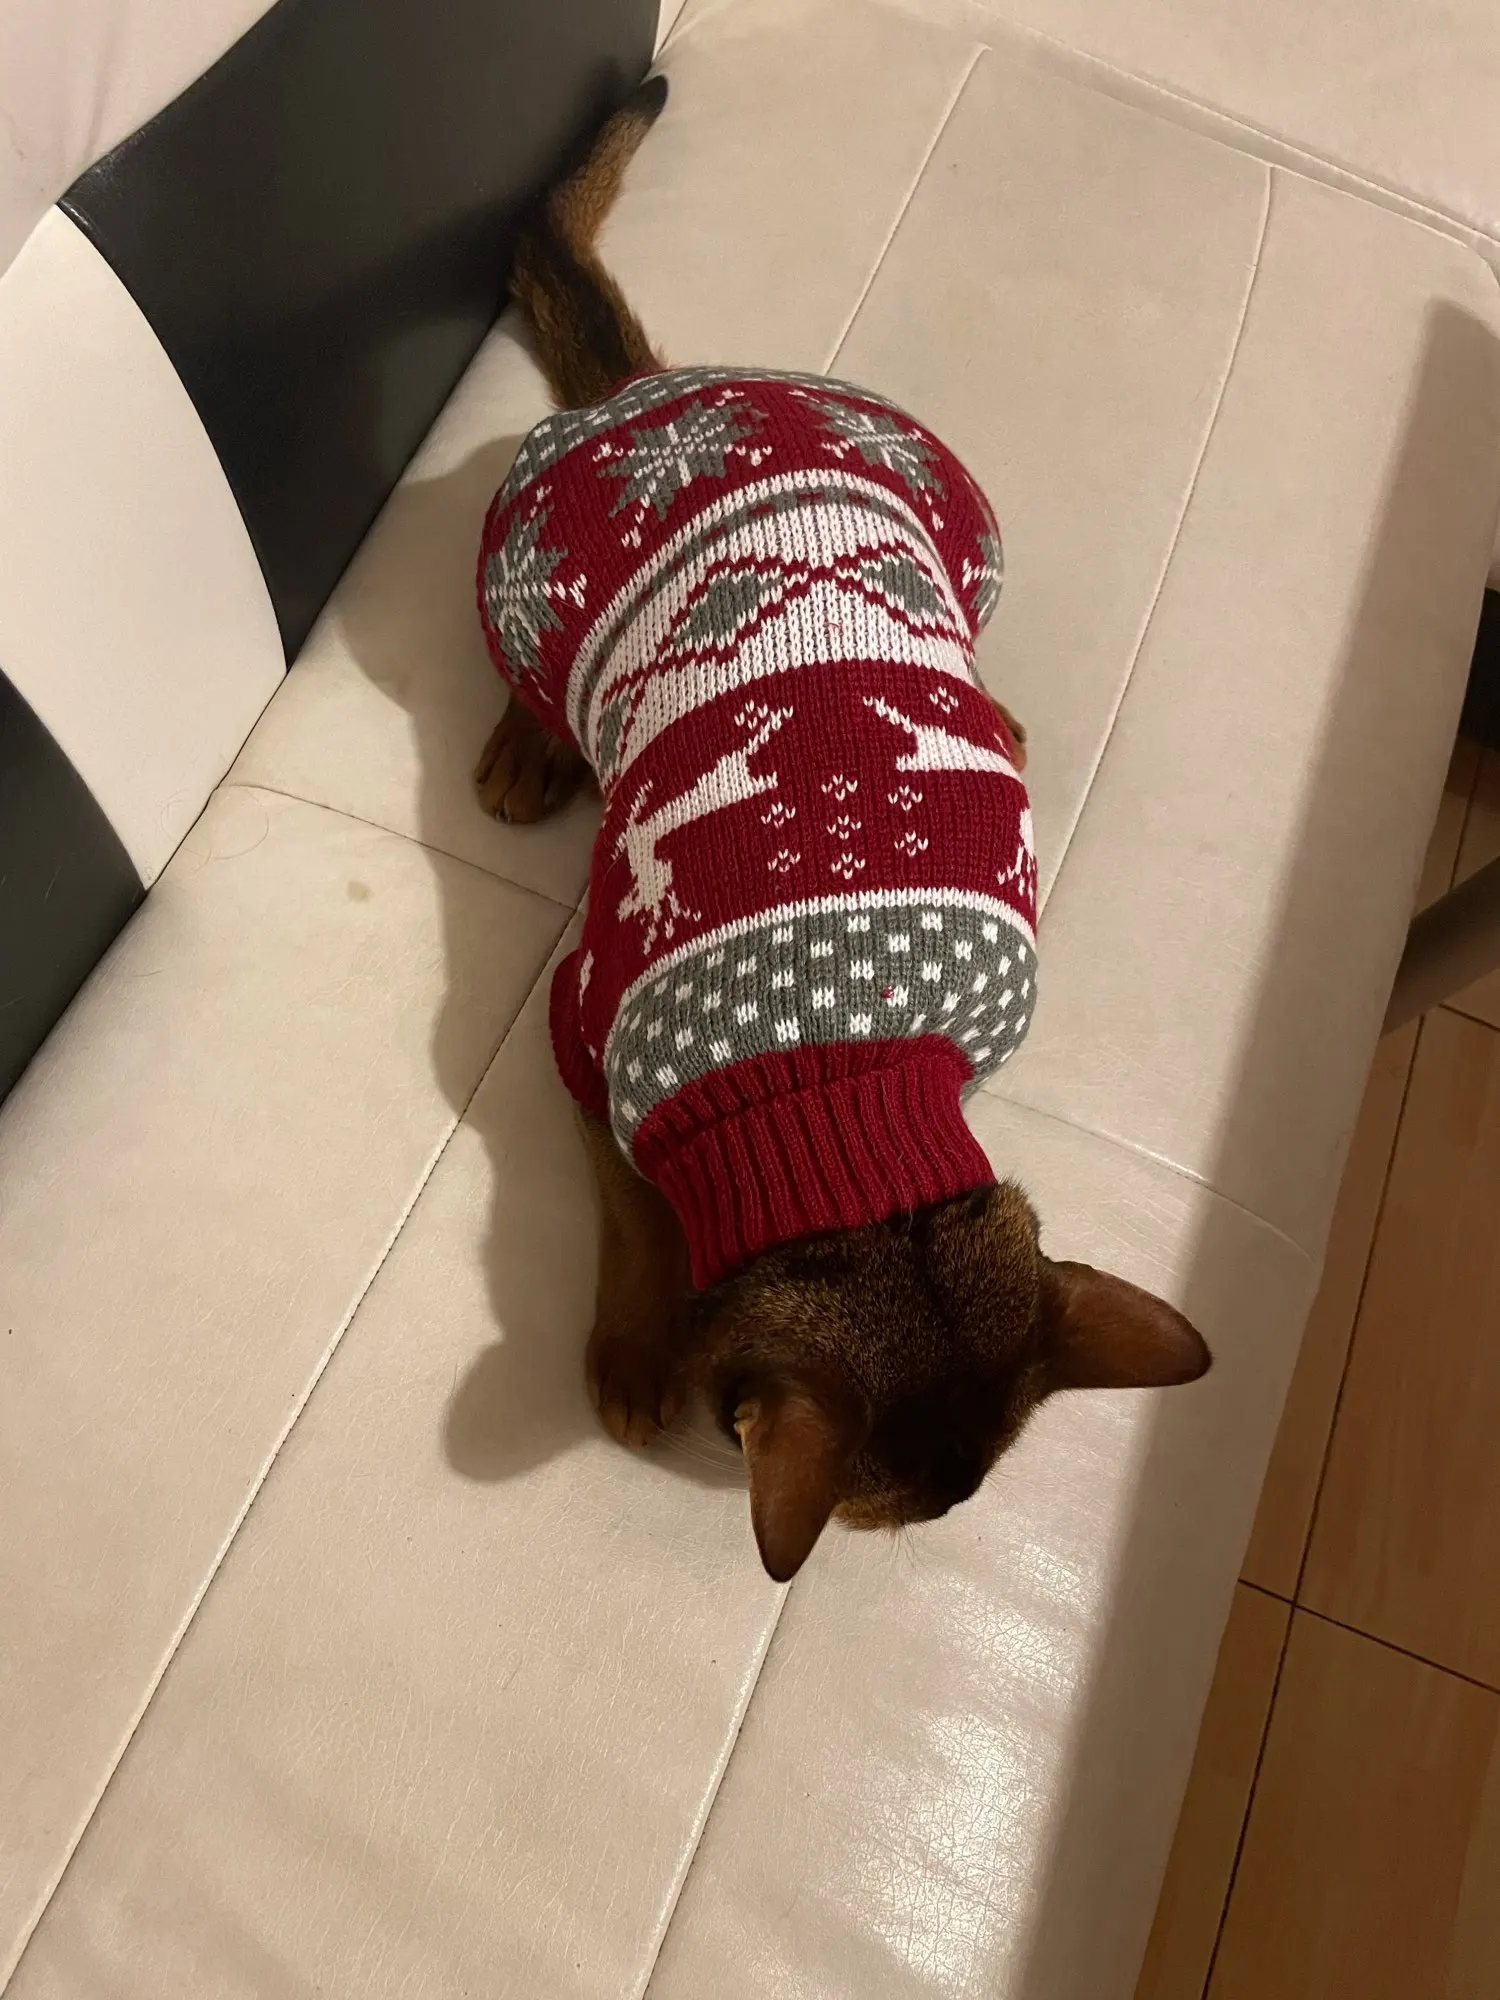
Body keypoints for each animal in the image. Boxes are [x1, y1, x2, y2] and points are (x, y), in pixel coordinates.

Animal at [474, 76, 1209, 1583]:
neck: (846, 1084)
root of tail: (660, 387)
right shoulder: (583, 1038)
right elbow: (637, 1216)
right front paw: (635, 1345)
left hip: (964, 523)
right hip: (521, 581)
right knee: (532, 674)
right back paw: (532, 742)